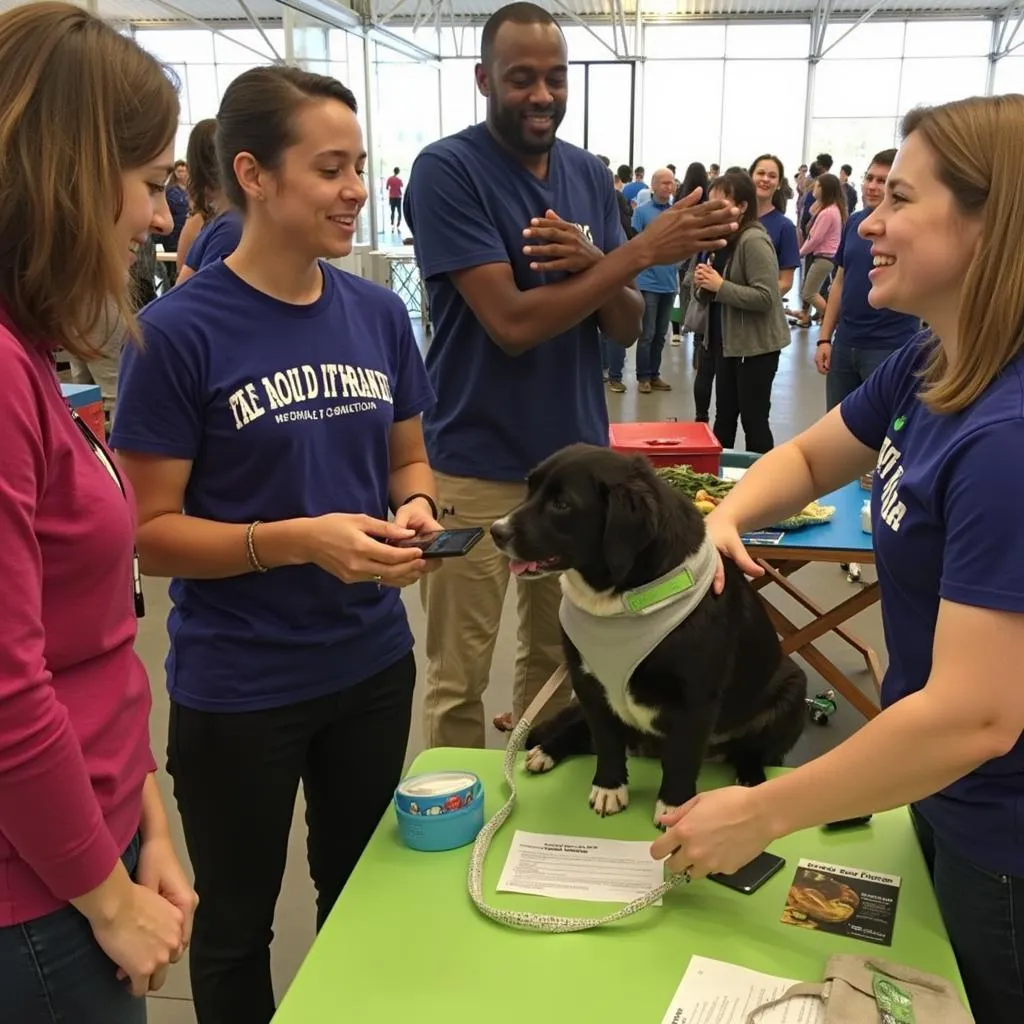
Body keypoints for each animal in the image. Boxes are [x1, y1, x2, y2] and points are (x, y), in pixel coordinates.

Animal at [489, 444, 806, 827]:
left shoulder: (695, 699)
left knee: (751, 750)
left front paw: (674, 805)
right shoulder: (589, 684)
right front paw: (609, 787)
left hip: (792, 689)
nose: (495, 531)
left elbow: (682, 758)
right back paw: (546, 751)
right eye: (529, 487)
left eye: (562, 504)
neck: (618, 598)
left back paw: (749, 777)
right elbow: (607, 743)